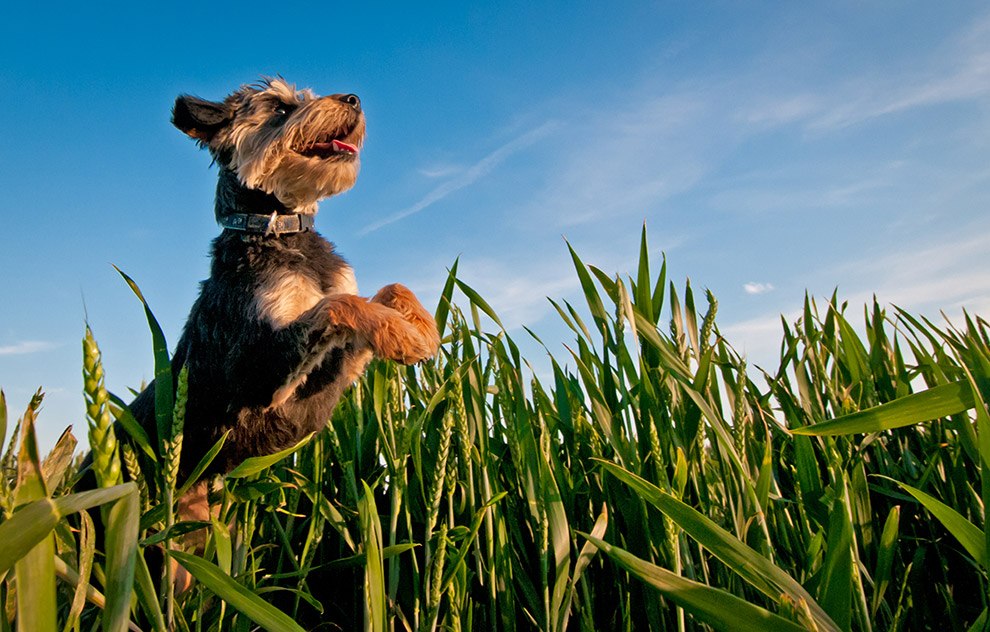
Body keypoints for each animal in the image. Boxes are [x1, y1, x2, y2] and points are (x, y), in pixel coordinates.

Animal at [129, 78, 442, 478]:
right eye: (280, 108)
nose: (353, 99)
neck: (280, 230)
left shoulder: (340, 368)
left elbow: (385, 289)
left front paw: (418, 326)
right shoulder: (253, 376)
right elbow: (338, 304)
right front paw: (404, 336)